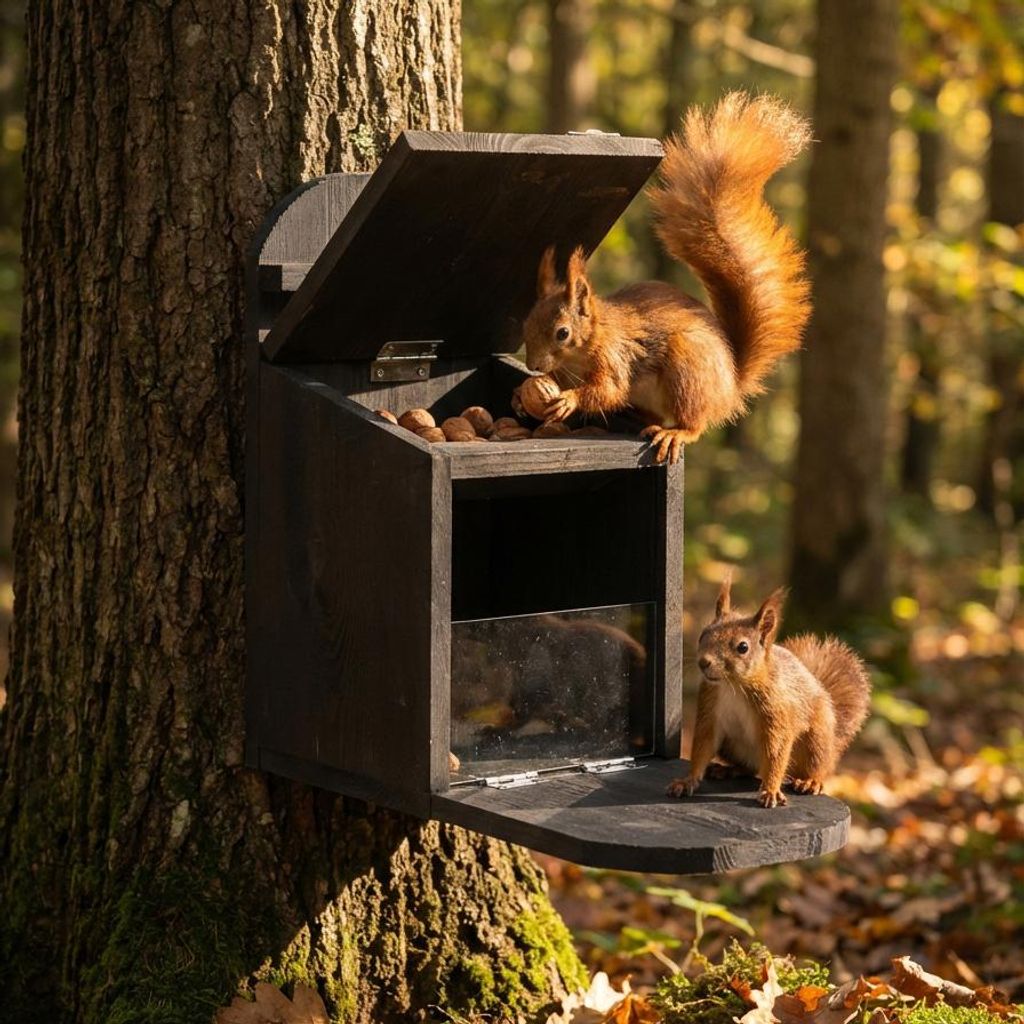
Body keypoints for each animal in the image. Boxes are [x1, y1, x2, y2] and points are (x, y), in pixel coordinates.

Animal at [521, 92, 812, 464]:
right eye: (526, 324)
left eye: (563, 333)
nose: (533, 366)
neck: (587, 346)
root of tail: (730, 387)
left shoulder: (615, 357)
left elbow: (608, 389)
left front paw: (570, 399)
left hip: (688, 371)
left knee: (694, 423)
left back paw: (676, 433)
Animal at [666, 577, 871, 808]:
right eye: (703, 635)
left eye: (743, 647)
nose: (704, 662)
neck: (734, 685)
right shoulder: (710, 707)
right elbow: (703, 745)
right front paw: (687, 781)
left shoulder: (776, 712)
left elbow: (776, 752)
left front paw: (771, 790)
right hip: (731, 747)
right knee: (749, 768)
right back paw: (727, 769)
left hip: (816, 740)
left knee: (817, 764)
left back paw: (810, 781)